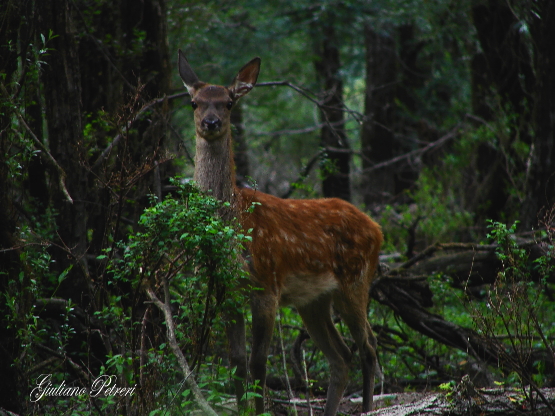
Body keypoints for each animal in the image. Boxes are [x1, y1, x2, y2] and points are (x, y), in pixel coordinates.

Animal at [180, 49, 384, 416]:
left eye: (228, 102)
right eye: (194, 102)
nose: (211, 123)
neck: (236, 226)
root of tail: (377, 228)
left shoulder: (267, 284)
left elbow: (258, 363)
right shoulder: (227, 290)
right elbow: (236, 362)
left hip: (356, 280)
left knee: (369, 346)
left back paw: (366, 407)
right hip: (314, 300)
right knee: (341, 355)